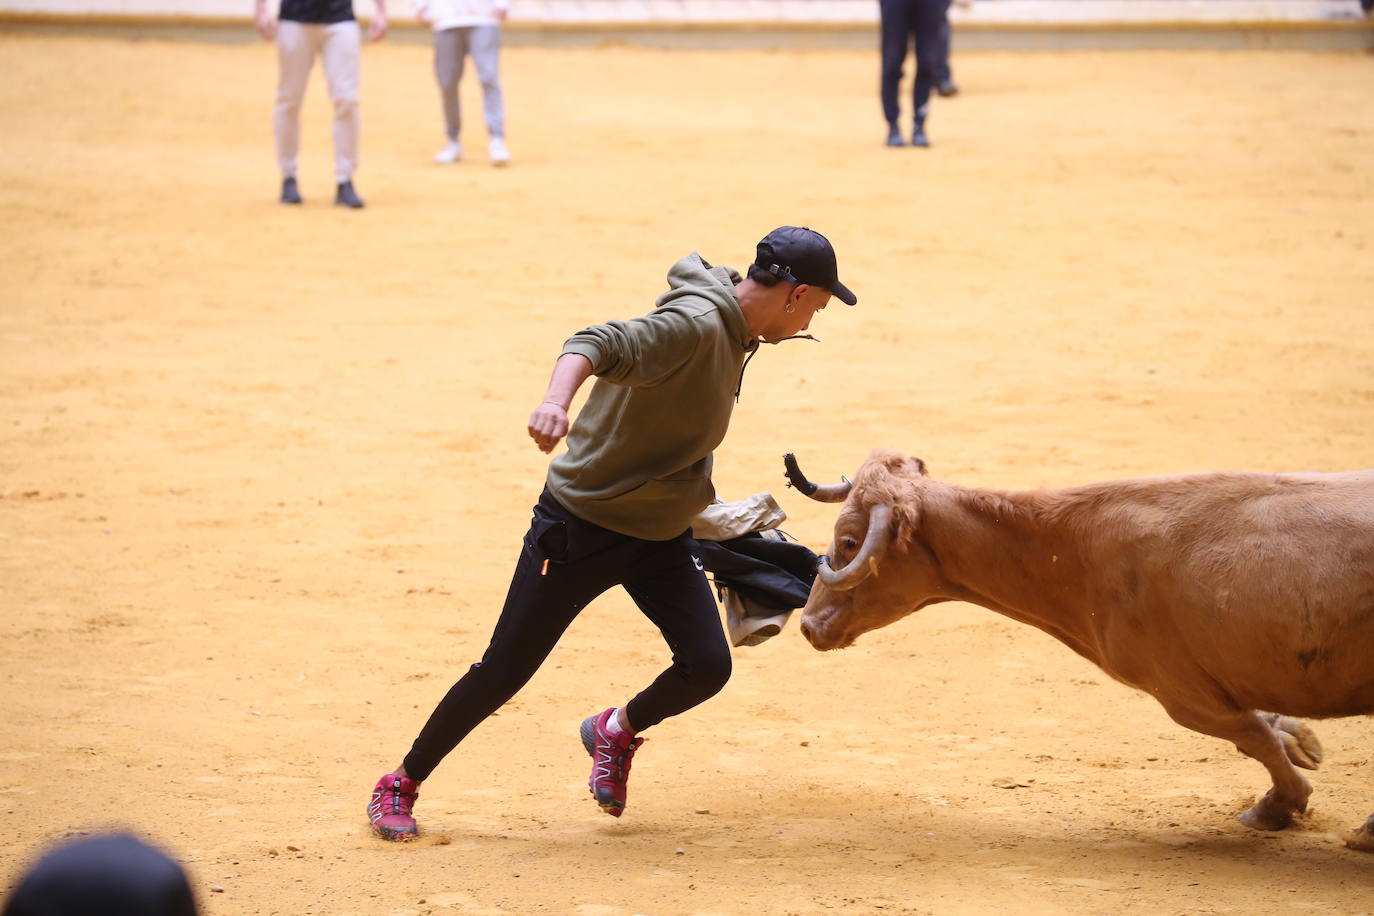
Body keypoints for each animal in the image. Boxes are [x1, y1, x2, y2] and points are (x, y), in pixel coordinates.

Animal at [785, 450, 1374, 851]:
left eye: (847, 542)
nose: (809, 625)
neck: (1075, 549)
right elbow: (1265, 729)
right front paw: (1302, 743)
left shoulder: (1184, 697)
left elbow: (1253, 738)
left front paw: (1278, 805)